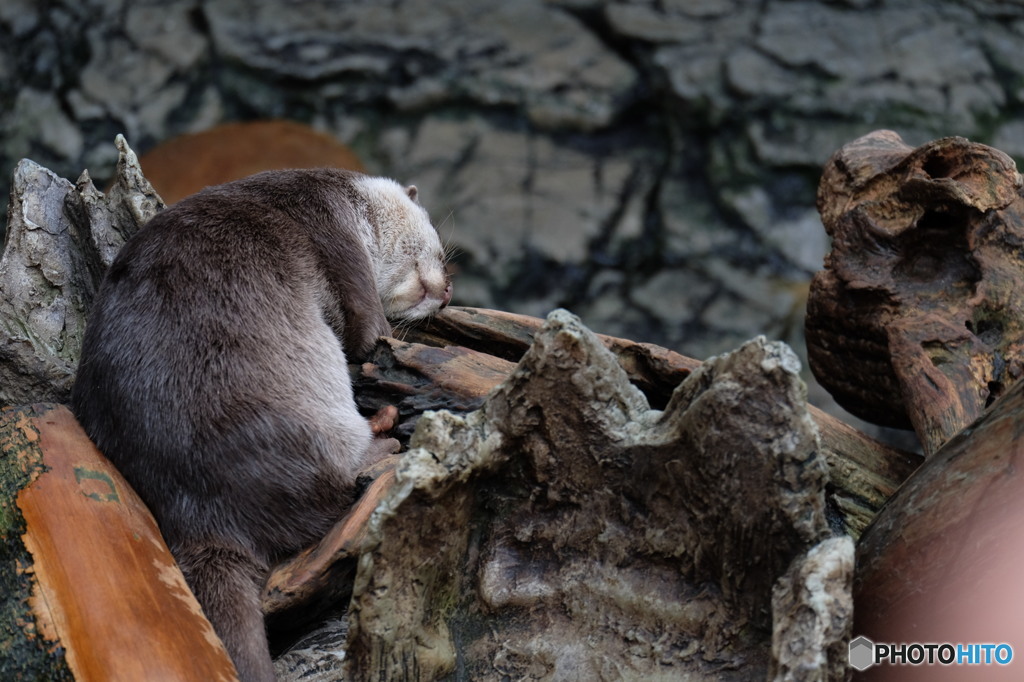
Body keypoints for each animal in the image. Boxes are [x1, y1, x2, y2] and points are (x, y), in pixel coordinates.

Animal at [72, 166, 452, 675]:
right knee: (336, 485)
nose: (448, 293)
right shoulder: (335, 231)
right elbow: (369, 330)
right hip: (302, 420)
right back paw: (383, 435)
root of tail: (203, 515)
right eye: (440, 254)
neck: (351, 204)